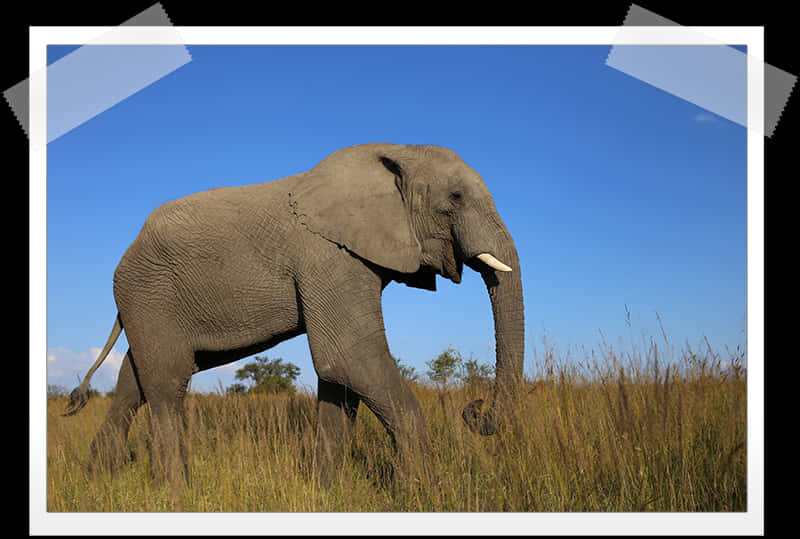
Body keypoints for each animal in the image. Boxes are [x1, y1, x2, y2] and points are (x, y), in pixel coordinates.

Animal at [64, 143, 525, 487]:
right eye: (456, 198)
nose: (474, 409)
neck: (396, 152)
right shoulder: (327, 255)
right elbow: (349, 358)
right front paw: (419, 492)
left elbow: (341, 378)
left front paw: (327, 491)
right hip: (148, 293)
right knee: (166, 382)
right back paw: (177, 491)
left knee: (134, 379)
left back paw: (97, 479)